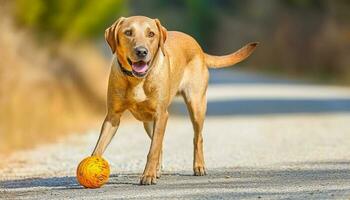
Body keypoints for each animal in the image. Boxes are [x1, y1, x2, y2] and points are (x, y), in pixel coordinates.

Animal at [92, 15, 258, 184]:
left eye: (151, 34)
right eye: (128, 32)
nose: (141, 51)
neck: (137, 80)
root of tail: (199, 48)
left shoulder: (161, 115)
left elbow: (153, 150)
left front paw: (148, 175)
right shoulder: (113, 116)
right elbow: (98, 148)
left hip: (196, 105)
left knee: (197, 138)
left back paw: (198, 166)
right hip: (148, 122)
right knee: (161, 145)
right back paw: (158, 170)